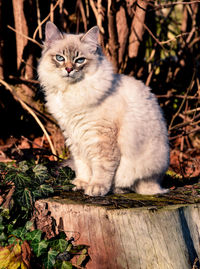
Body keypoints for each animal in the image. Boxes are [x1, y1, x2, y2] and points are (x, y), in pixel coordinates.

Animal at [37, 21, 169, 195]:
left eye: (80, 60)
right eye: (60, 58)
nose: (69, 69)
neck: (72, 92)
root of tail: (158, 184)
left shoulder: (101, 138)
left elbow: (102, 168)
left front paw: (95, 188)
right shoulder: (75, 137)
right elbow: (83, 166)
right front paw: (82, 183)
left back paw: (116, 188)